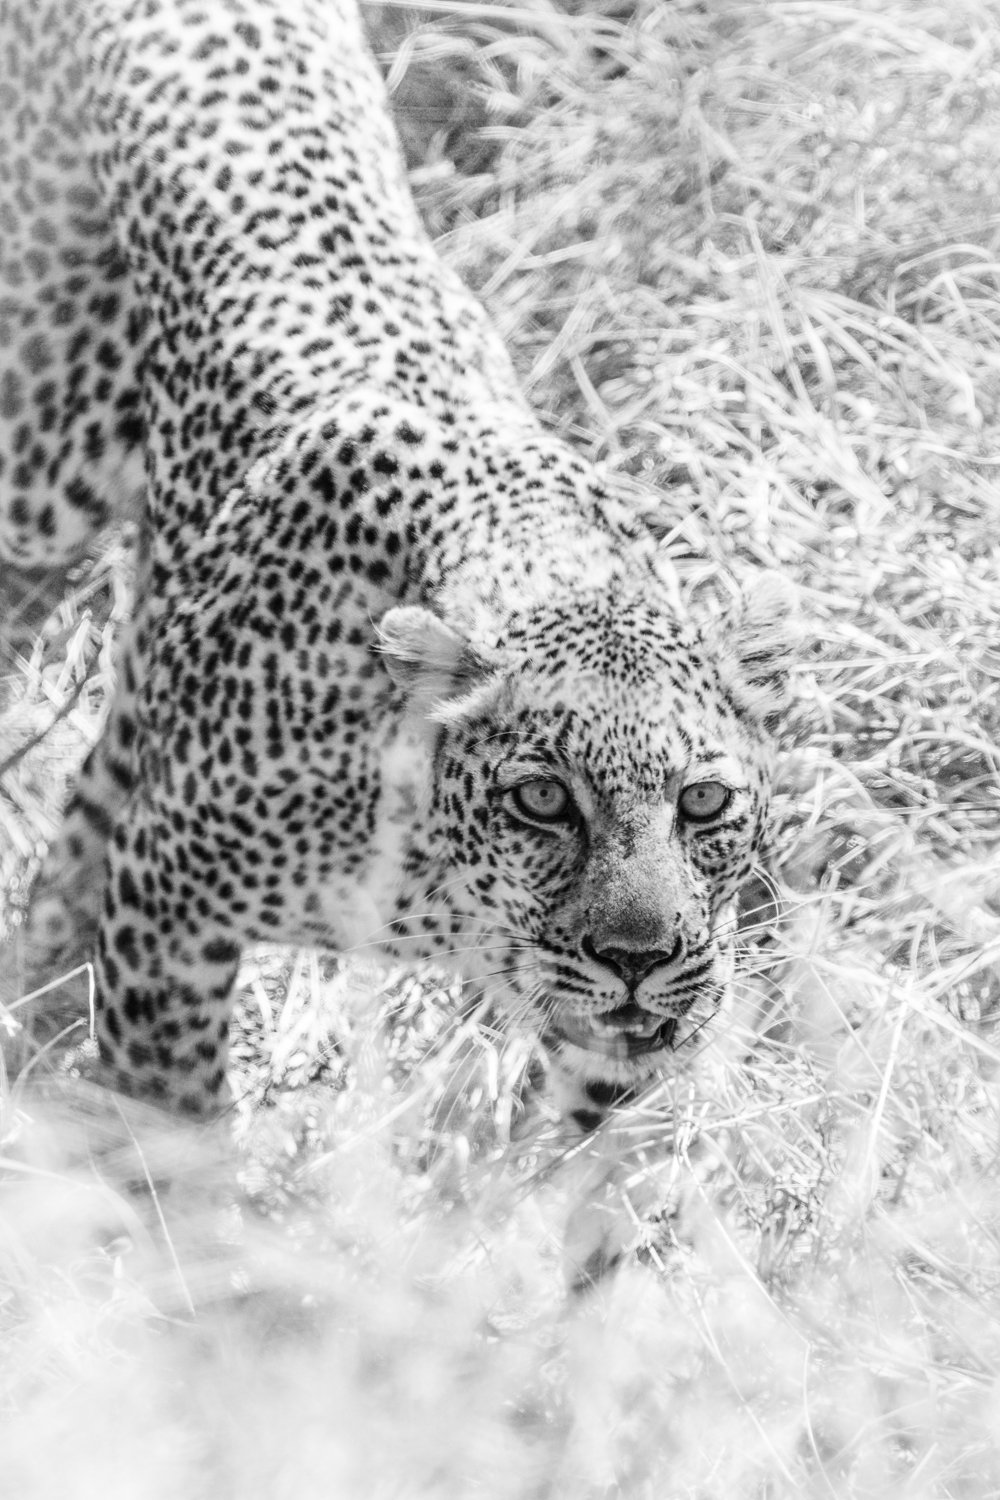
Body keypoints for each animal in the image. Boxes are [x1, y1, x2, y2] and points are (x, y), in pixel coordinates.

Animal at [0, 0, 795, 1152]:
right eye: (542, 800)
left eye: (702, 802)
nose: (636, 961)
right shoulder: (171, 890)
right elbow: (177, 1122)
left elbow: (556, 1166)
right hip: (36, 464)